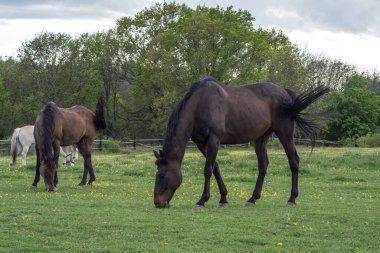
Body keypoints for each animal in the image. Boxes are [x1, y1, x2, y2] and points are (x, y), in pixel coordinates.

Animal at [154, 77, 330, 208]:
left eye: (161, 175)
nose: (157, 203)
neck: (200, 104)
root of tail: (285, 93)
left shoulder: (214, 140)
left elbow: (208, 169)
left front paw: (202, 200)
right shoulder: (202, 144)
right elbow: (216, 168)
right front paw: (223, 199)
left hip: (284, 134)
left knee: (293, 161)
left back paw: (291, 199)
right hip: (261, 138)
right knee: (263, 165)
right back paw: (252, 199)